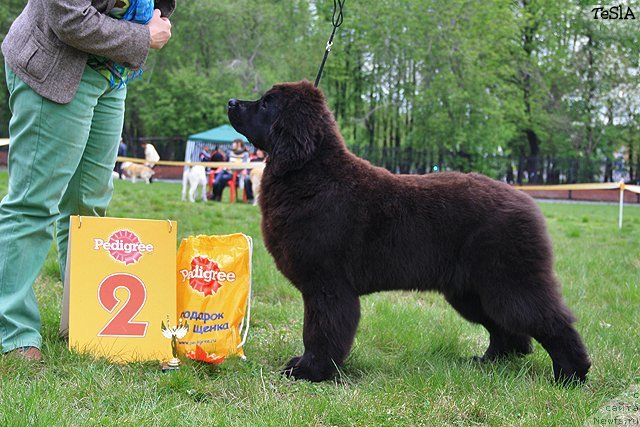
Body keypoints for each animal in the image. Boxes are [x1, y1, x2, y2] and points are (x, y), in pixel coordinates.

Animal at [229, 79, 592, 384]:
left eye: (266, 103)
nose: (231, 101)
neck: (310, 174)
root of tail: (527, 200)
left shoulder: (327, 285)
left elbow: (319, 331)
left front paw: (310, 371)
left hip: (510, 281)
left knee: (549, 321)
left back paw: (571, 374)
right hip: (471, 290)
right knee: (506, 329)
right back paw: (489, 361)